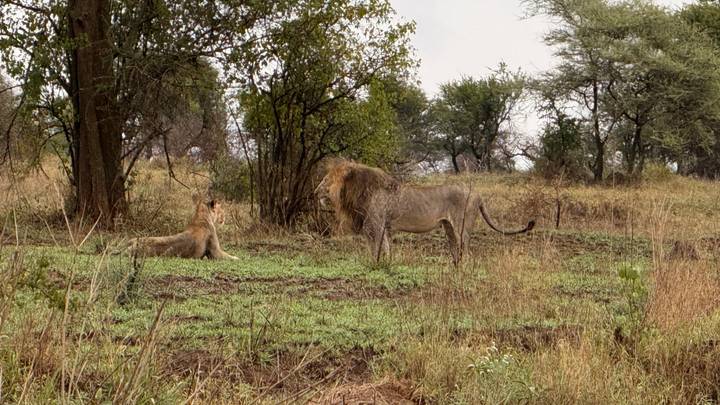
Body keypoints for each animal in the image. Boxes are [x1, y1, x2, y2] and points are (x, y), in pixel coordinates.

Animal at [315, 160, 535, 265]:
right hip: (449, 228)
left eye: (327, 179)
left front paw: (375, 265)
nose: (315, 191)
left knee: (466, 251)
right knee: (456, 251)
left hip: (461, 226)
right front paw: (386, 264)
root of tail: (478, 194)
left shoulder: (375, 225)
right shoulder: (383, 226)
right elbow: (386, 248)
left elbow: (376, 249)